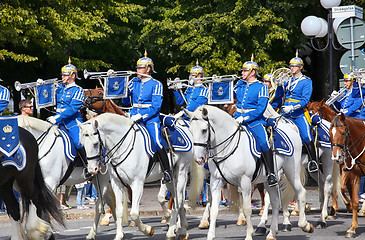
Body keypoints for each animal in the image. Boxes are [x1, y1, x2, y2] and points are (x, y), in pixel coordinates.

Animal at [186, 106, 312, 240]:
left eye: (204, 130)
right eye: (190, 130)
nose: (199, 159)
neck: (228, 148)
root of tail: (291, 128)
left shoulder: (245, 181)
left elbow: (247, 209)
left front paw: (249, 235)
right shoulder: (216, 181)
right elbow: (214, 209)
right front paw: (210, 235)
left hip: (291, 172)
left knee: (301, 192)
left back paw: (305, 225)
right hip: (270, 179)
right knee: (275, 201)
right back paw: (271, 233)